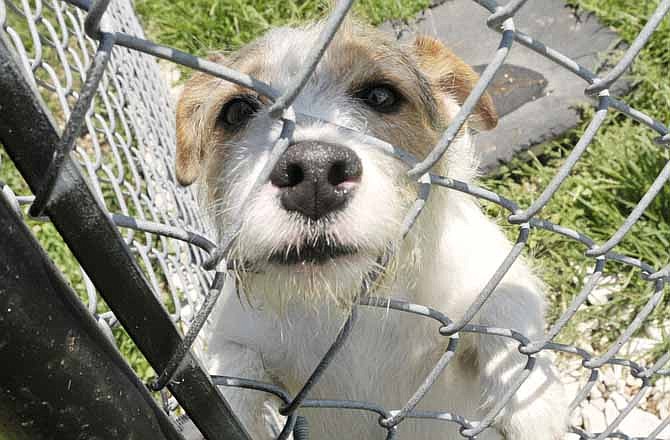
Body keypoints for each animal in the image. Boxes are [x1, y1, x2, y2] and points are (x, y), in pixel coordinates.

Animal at [176, 13, 568, 440]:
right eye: (235, 112)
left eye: (381, 96)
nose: (314, 174)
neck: (351, 302)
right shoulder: (237, 333)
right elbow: (228, 376)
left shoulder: (485, 269)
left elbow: (509, 309)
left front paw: (531, 405)